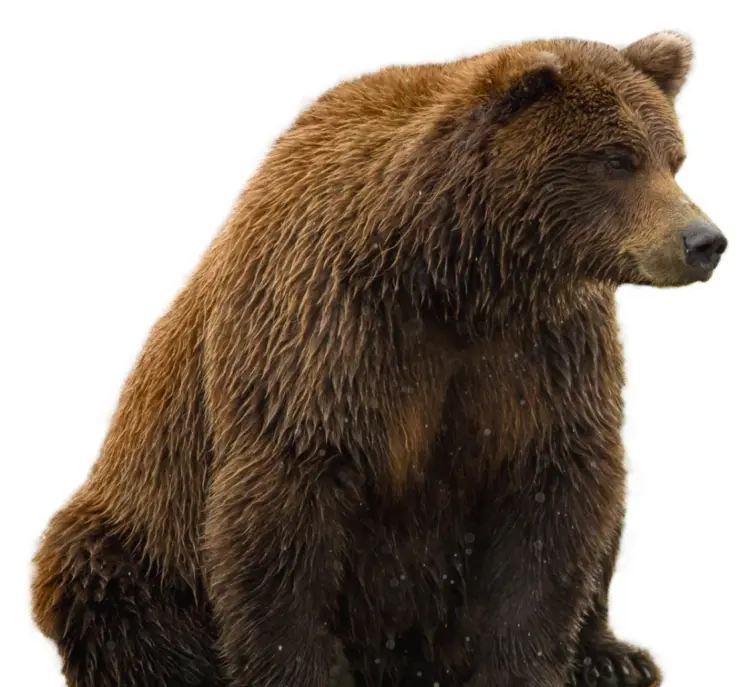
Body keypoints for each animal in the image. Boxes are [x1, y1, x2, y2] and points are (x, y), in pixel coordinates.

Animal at [31, 31, 727, 687]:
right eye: (617, 159)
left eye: (674, 158)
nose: (704, 241)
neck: (458, 277)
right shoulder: (325, 339)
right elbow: (283, 521)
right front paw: (301, 670)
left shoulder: (543, 354)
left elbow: (553, 505)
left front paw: (526, 666)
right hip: (138, 532)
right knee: (110, 589)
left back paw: (614, 656)